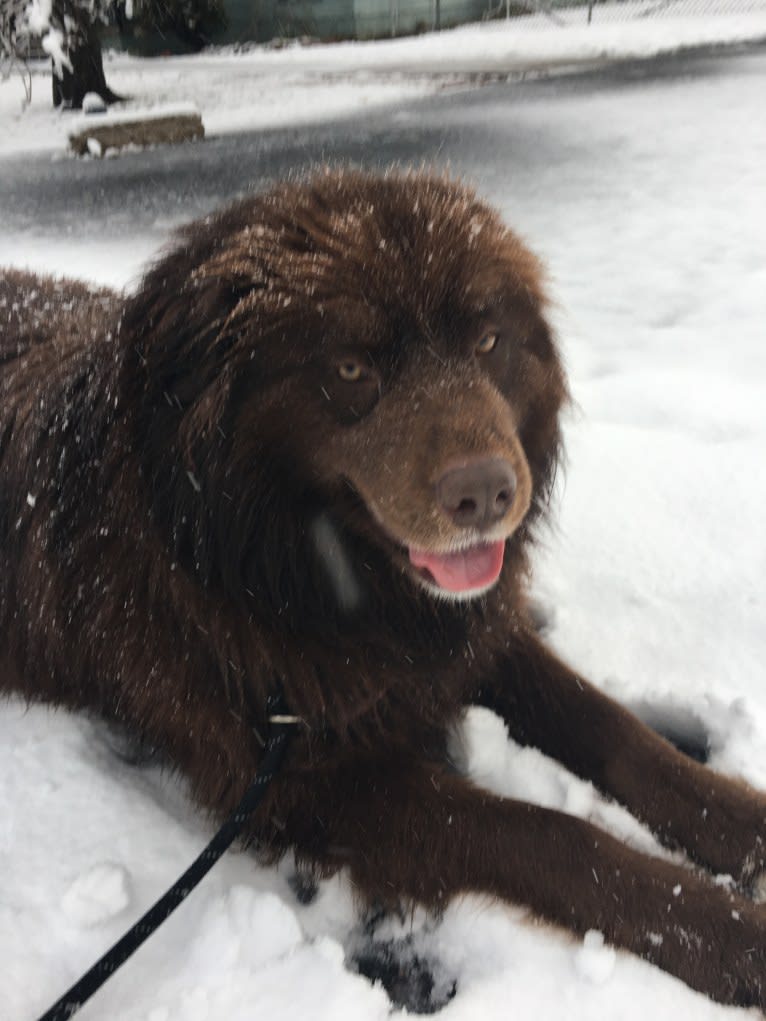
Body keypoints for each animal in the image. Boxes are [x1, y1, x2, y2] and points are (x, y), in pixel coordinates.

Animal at [1, 171, 766, 1008]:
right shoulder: (306, 781)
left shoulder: (462, 638)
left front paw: (746, 825)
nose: (486, 494)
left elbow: (615, 729)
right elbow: (550, 833)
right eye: (350, 369)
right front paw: (732, 935)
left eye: (488, 342)